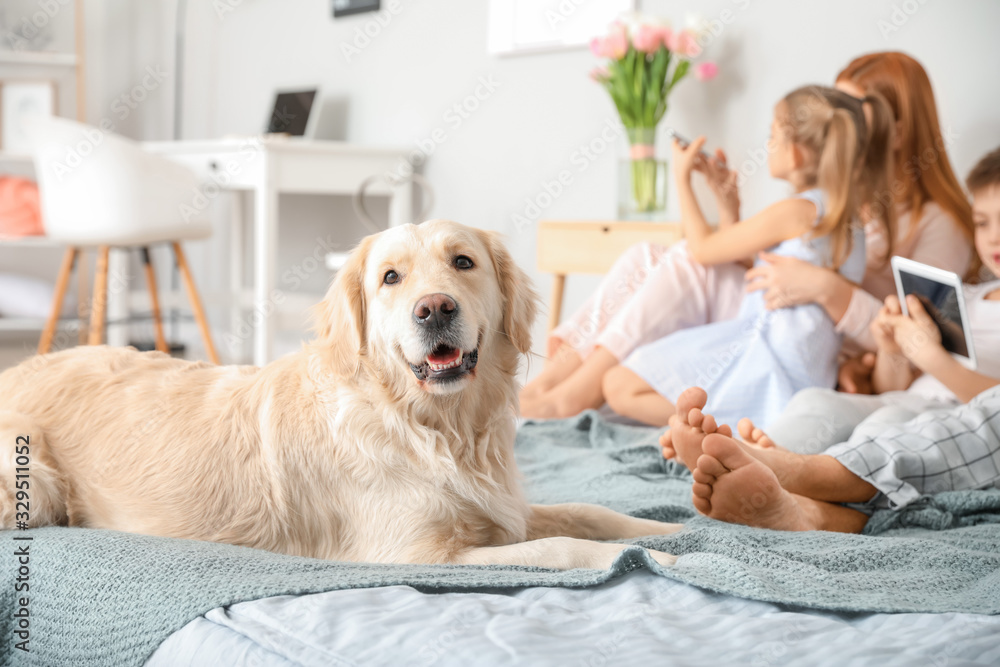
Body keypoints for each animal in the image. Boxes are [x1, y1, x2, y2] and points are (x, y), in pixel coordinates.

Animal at [0, 219, 680, 568]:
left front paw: (668, 532)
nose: (435, 309)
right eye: (390, 278)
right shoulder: (423, 555)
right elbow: (562, 547)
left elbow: (588, 513)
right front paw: (659, 561)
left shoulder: (502, 507)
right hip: (35, 489)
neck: (434, 426)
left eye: (463, 262)